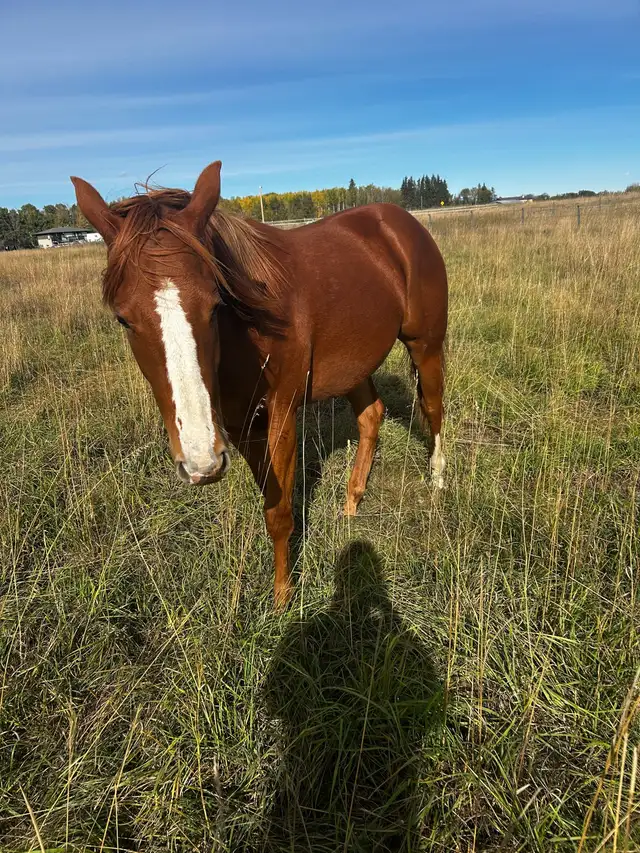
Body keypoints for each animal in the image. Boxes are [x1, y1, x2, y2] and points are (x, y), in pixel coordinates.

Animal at [71, 161, 448, 608]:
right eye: (123, 319)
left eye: (215, 304)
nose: (200, 461)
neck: (249, 330)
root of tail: (399, 221)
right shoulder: (240, 428)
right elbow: (270, 501)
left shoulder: (281, 413)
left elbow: (279, 511)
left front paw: (284, 600)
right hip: (354, 363)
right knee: (371, 415)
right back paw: (352, 500)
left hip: (425, 345)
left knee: (433, 408)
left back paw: (438, 481)